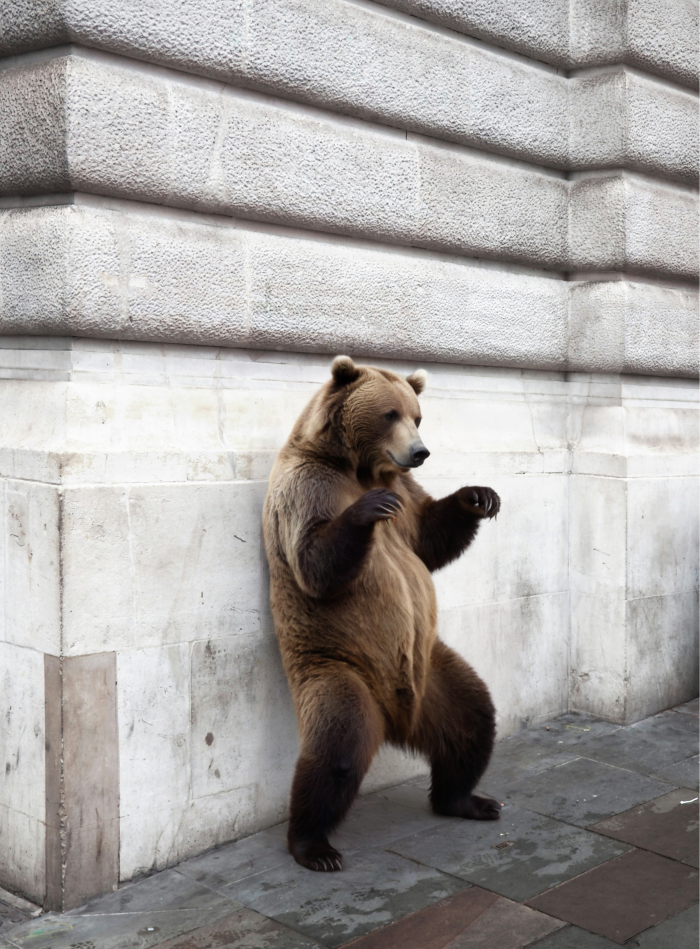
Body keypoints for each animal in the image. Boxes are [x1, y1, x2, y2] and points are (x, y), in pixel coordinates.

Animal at [262, 355, 501, 872]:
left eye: (418, 416)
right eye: (390, 414)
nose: (421, 451)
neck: (360, 466)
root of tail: (397, 719)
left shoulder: (405, 492)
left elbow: (428, 538)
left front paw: (478, 495)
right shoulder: (310, 486)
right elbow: (315, 559)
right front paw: (369, 510)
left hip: (433, 671)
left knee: (473, 720)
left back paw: (468, 800)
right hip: (337, 667)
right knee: (336, 753)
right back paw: (314, 846)